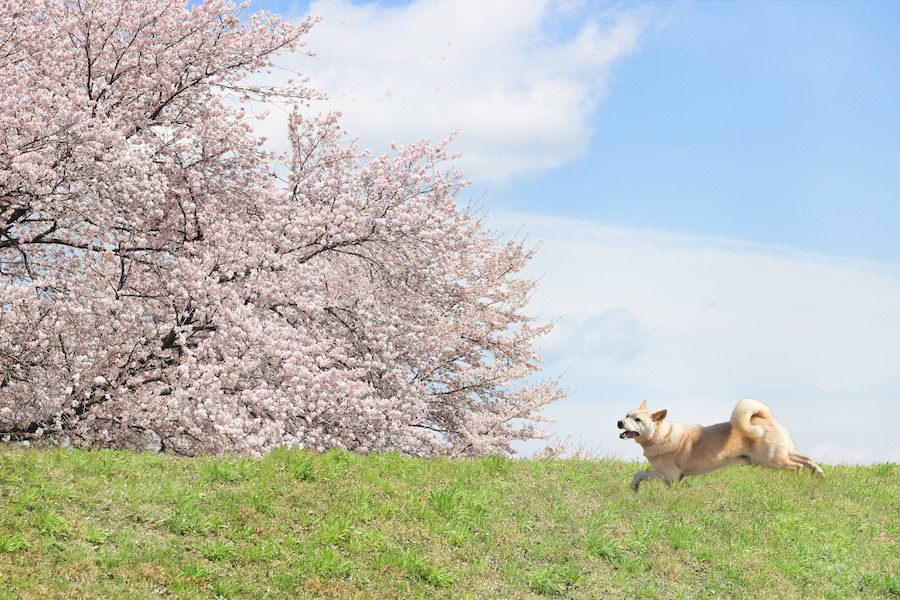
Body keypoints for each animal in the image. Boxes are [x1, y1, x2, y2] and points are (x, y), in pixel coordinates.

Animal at [620, 398, 824, 492]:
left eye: (637, 420)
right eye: (627, 415)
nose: (619, 422)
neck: (662, 435)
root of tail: (764, 416)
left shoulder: (669, 475)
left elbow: (642, 473)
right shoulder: (670, 477)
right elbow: (639, 475)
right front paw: (634, 488)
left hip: (771, 459)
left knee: (796, 466)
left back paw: (798, 480)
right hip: (782, 452)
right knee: (807, 459)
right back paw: (819, 475)